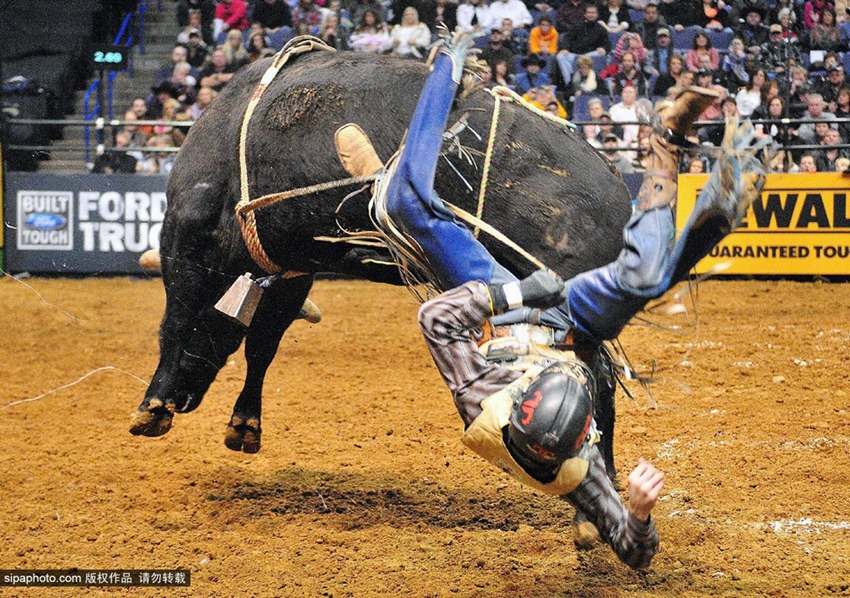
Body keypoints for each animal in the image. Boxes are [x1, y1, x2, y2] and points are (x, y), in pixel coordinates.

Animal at [131, 51, 628, 468]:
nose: (185, 398)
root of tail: (617, 188)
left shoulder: (186, 234)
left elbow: (177, 319)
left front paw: (152, 406)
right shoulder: (293, 266)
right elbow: (262, 343)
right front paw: (244, 424)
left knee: (591, 378)